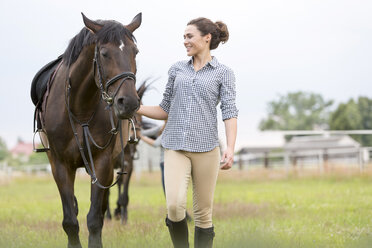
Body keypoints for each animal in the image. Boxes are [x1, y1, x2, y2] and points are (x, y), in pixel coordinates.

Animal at [31, 13, 142, 248]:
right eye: (104, 53)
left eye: (134, 52)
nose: (128, 103)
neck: (80, 108)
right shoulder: (60, 165)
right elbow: (70, 220)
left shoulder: (101, 162)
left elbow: (94, 219)